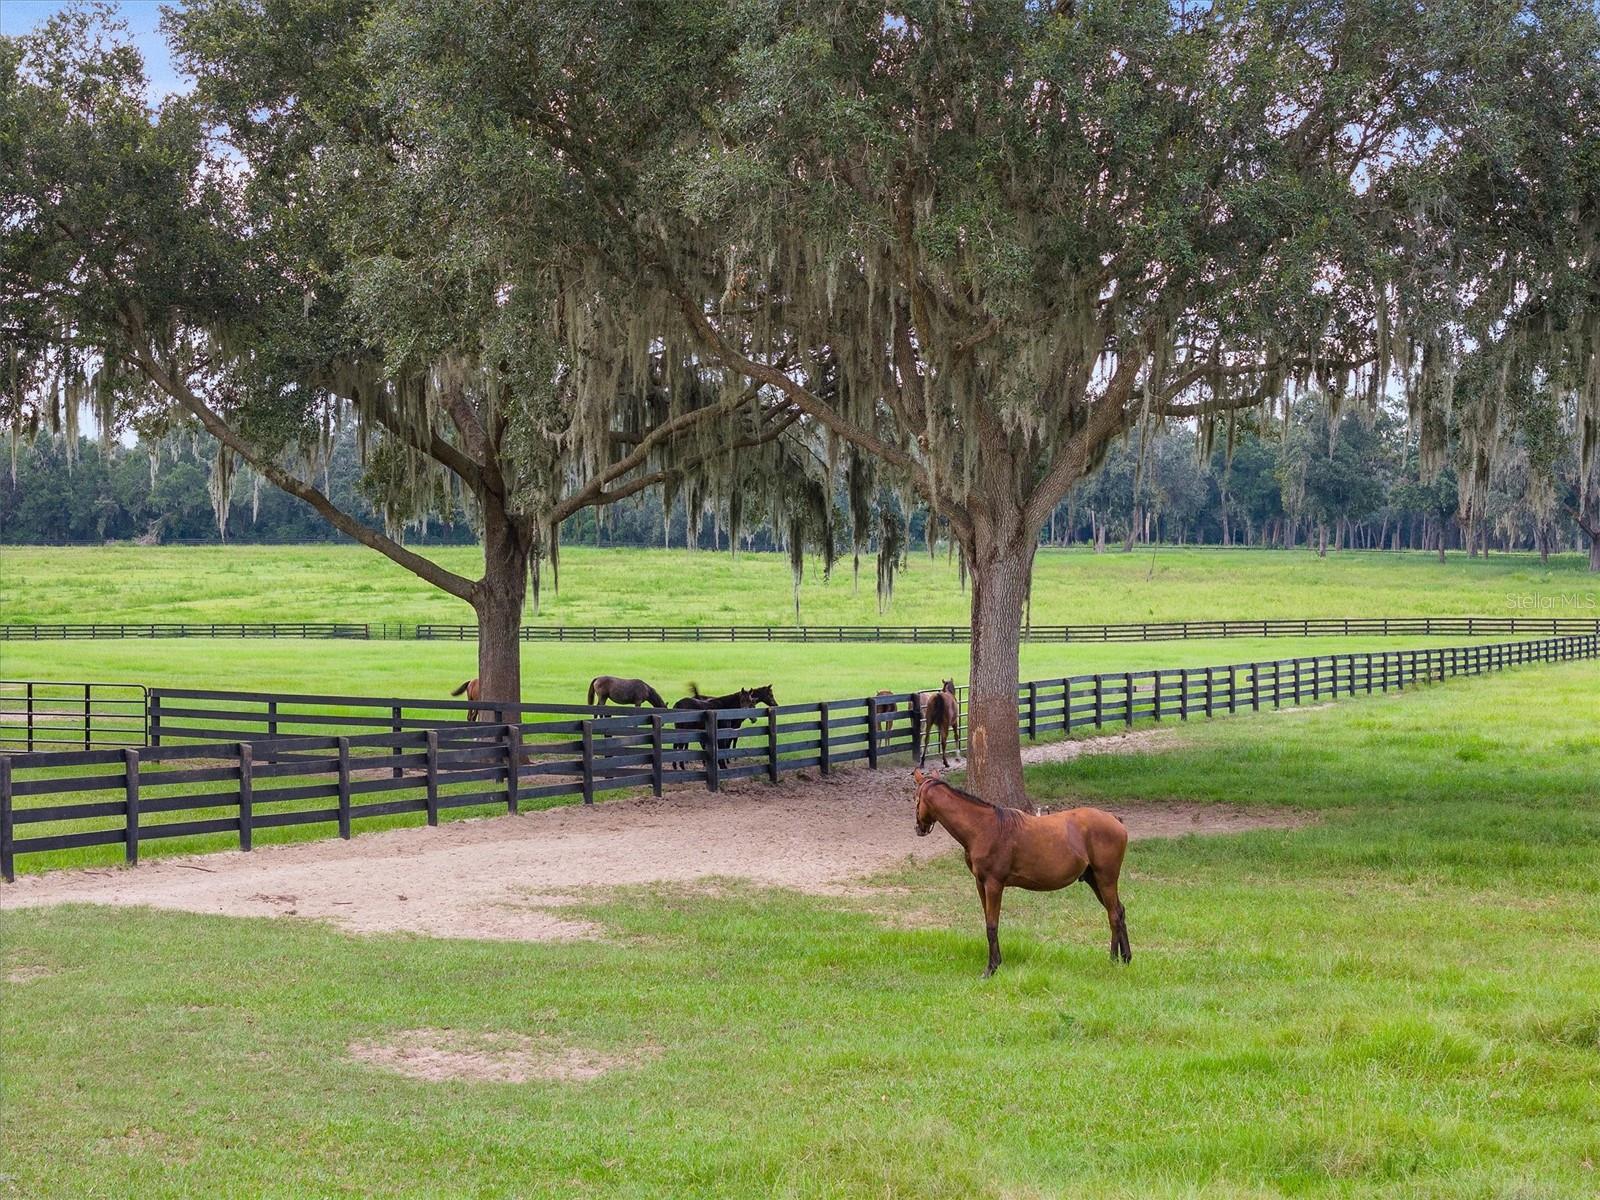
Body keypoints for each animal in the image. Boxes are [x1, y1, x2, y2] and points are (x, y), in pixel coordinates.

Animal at [908, 771, 1132, 979]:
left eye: (915, 798)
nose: (919, 828)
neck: (982, 828)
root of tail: (1115, 819)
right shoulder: (980, 884)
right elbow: (988, 922)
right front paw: (997, 962)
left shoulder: (994, 884)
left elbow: (992, 925)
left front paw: (991, 968)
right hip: (1094, 880)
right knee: (1119, 911)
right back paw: (1126, 958)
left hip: (1106, 879)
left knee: (1113, 915)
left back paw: (1113, 960)